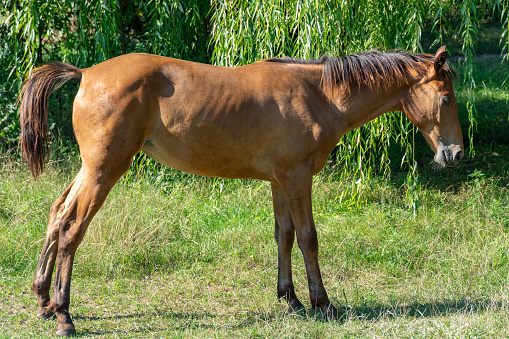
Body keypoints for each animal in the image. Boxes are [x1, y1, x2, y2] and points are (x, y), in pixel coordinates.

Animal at [17, 46, 460, 336]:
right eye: (445, 98)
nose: (454, 153)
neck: (318, 94)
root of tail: (86, 74)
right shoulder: (298, 178)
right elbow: (308, 238)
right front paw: (323, 304)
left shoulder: (280, 181)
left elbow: (284, 236)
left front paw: (291, 299)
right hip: (104, 171)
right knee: (72, 228)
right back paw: (64, 315)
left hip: (91, 169)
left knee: (57, 214)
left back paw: (42, 300)